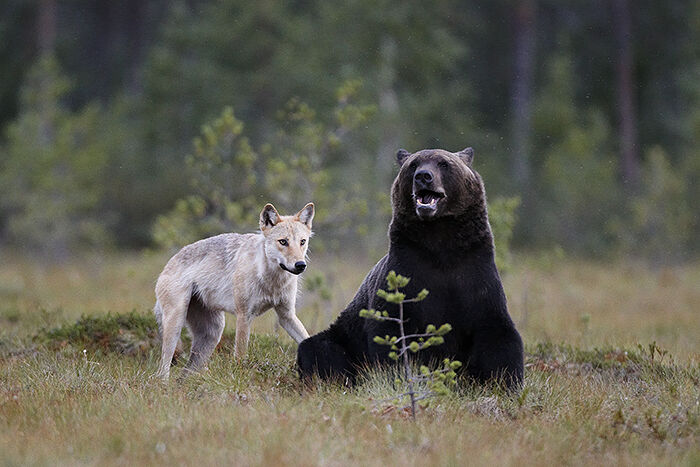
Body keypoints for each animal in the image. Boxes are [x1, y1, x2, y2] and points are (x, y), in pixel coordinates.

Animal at [157, 203, 316, 378]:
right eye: (283, 242)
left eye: (302, 242)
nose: (300, 265)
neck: (270, 279)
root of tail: (167, 265)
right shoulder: (244, 316)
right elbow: (240, 356)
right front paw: (241, 377)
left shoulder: (286, 315)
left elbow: (306, 338)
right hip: (176, 325)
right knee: (162, 369)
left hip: (213, 334)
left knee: (184, 374)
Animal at [296, 148, 524, 390]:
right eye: (414, 164)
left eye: (444, 163)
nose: (423, 176)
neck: (441, 244)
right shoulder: (406, 271)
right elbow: (390, 331)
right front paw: (397, 377)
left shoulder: (475, 275)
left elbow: (497, 334)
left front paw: (504, 382)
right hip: (346, 334)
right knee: (319, 348)